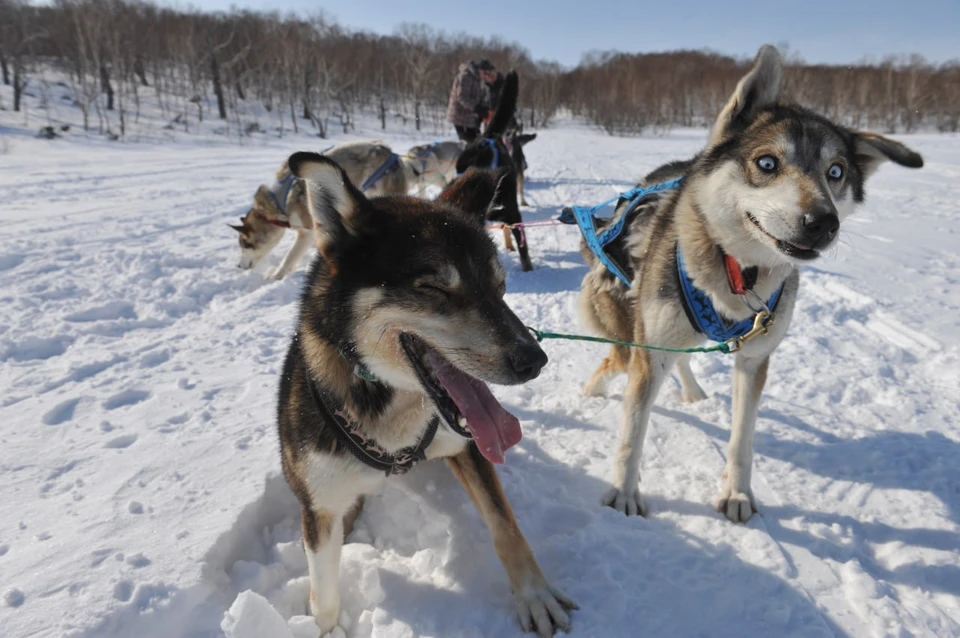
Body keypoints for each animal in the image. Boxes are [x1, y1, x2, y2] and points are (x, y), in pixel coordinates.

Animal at [276, 156, 576, 638]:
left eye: (500, 286)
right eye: (434, 288)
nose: (534, 359)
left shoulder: (471, 446)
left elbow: (505, 525)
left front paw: (536, 595)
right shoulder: (317, 506)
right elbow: (323, 592)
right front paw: (325, 627)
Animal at [576, 45, 924, 524]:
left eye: (835, 172)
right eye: (767, 163)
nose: (823, 223)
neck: (737, 272)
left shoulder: (755, 360)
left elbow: (742, 438)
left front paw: (737, 494)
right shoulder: (651, 353)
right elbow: (633, 431)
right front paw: (624, 494)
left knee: (678, 360)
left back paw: (691, 390)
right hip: (635, 335)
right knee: (614, 362)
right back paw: (591, 393)